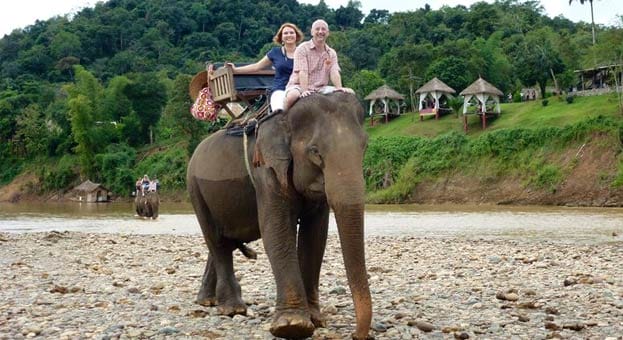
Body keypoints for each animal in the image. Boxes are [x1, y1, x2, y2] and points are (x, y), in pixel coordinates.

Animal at [185, 93, 370, 340]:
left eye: (365, 146)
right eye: (315, 152)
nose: (357, 335)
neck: (285, 118)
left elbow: (315, 236)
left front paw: (316, 320)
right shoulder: (265, 170)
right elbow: (275, 229)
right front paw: (292, 326)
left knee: (222, 242)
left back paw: (208, 301)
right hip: (195, 189)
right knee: (217, 241)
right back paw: (232, 308)